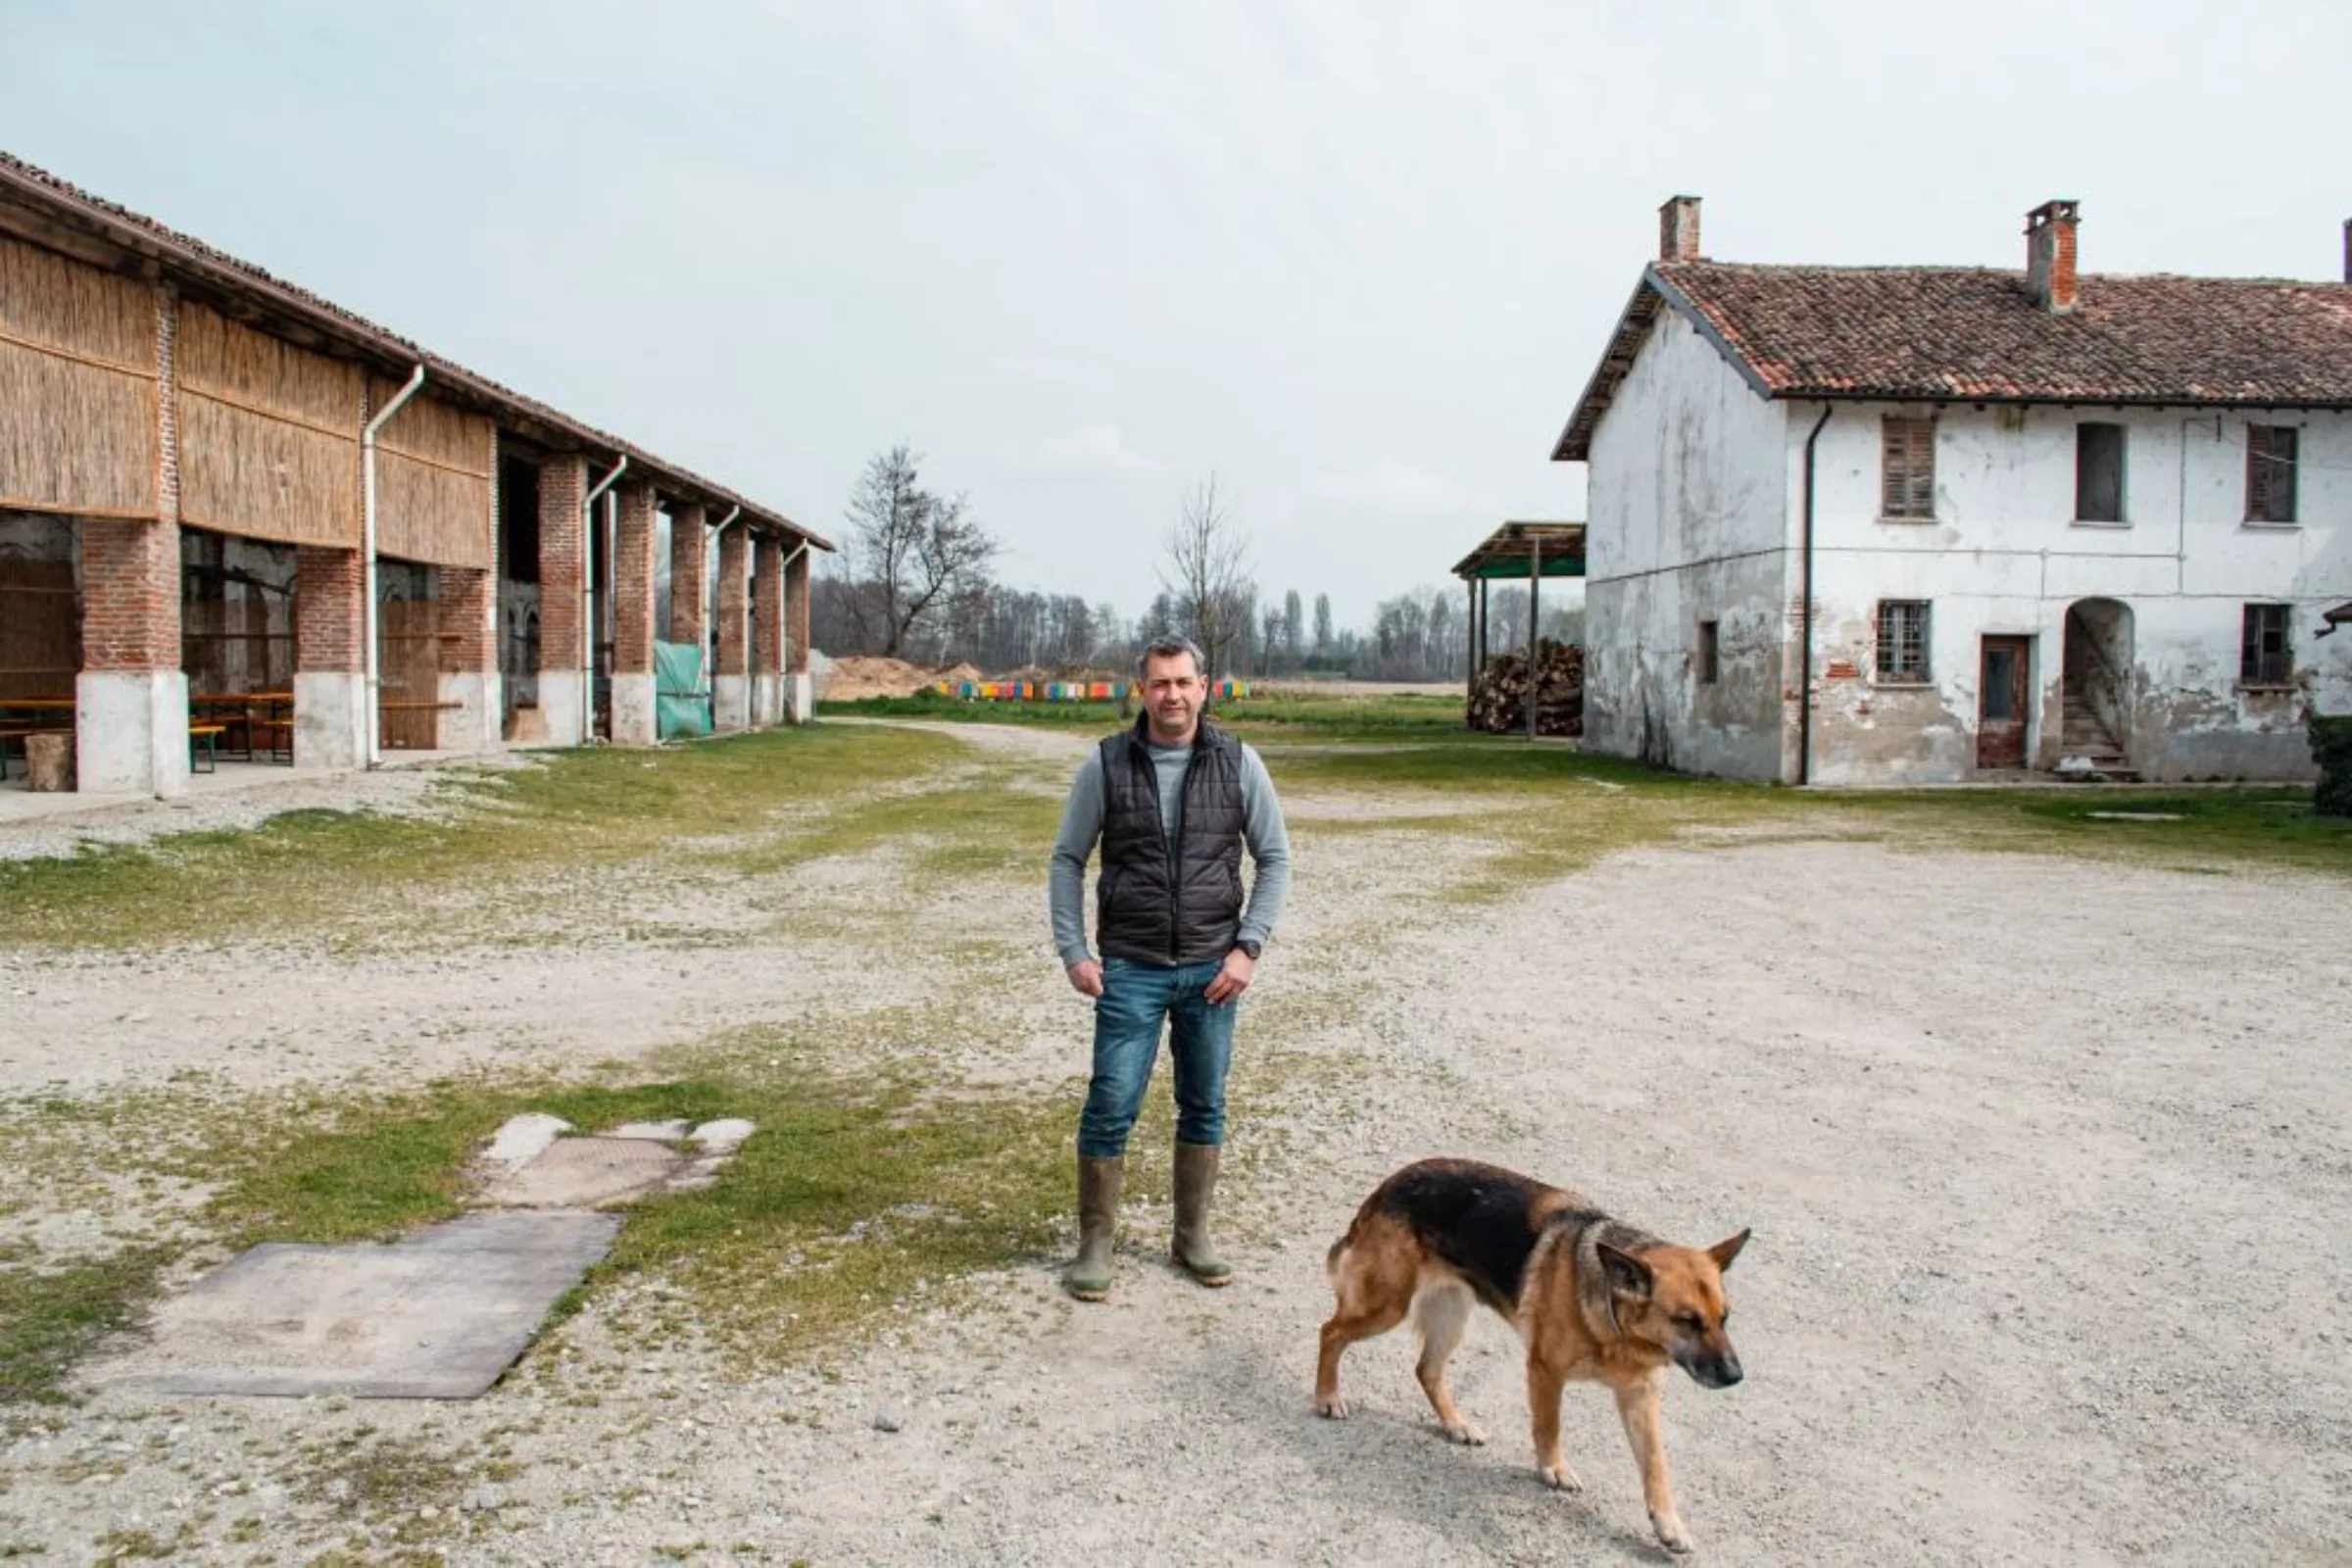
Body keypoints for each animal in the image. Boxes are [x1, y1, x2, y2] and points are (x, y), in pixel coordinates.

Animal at [1326, 1161, 1749, 1551]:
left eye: (1724, 1317)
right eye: (1687, 1321)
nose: (1735, 1376)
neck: (1615, 1324)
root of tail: (1389, 1183)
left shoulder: (1639, 1396)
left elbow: (1656, 1465)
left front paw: (1668, 1525)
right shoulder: (1546, 1370)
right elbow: (1550, 1426)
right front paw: (1554, 1469)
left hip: (1453, 1312)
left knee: (1427, 1370)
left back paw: (1456, 1424)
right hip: (1387, 1306)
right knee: (1330, 1333)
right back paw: (1328, 1398)